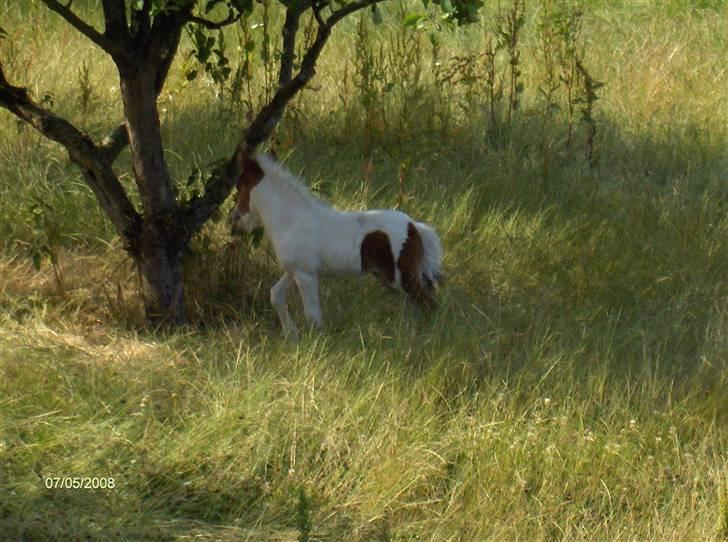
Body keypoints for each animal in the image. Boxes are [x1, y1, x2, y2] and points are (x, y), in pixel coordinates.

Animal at [230, 154, 440, 340]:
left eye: (240, 187)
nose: (233, 219)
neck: (292, 221)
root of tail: (414, 227)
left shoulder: (306, 274)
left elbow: (313, 315)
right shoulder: (293, 270)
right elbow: (276, 295)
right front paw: (292, 336)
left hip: (400, 277)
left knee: (428, 303)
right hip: (394, 278)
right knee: (416, 304)